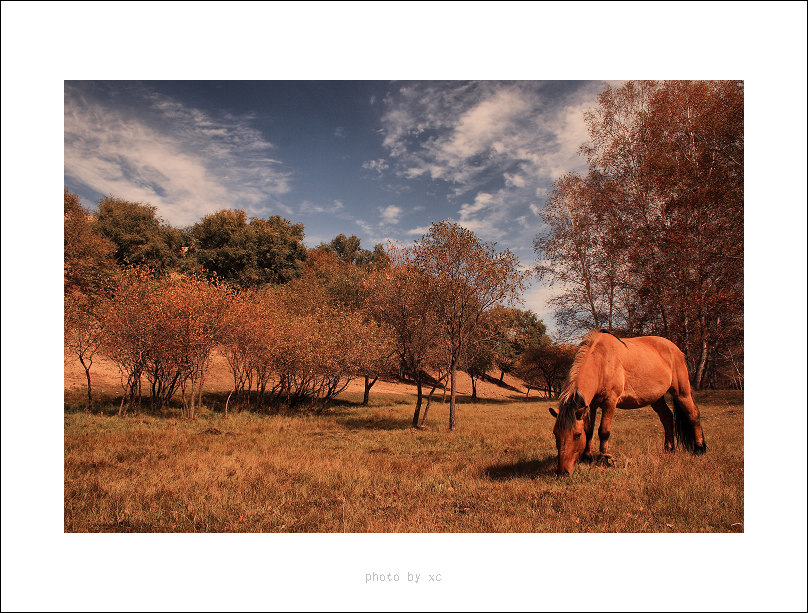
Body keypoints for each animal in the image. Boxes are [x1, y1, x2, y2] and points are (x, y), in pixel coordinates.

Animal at [548, 330, 708, 474]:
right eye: (556, 434)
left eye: (577, 435)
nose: (562, 471)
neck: (602, 361)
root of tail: (676, 350)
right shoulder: (591, 405)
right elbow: (590, 430)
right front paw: (587, 458)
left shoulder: (610, 401)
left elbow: (603, 431)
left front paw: (605, 458)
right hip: (656, 398)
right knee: (667, 417)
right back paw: (669, 449)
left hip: (682, 392)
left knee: (693, 414)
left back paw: (699, 449)